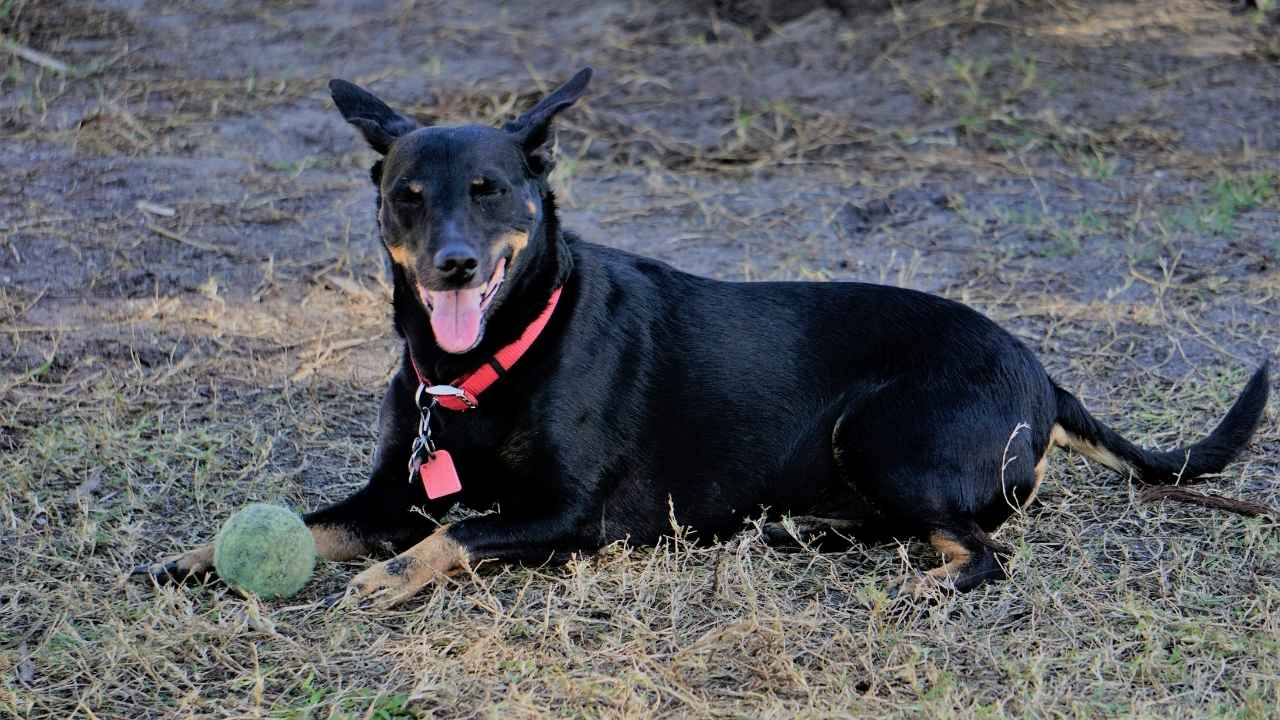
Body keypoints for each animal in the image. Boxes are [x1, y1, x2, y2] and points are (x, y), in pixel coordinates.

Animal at [137, 68, 1269, 604]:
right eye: (407, 196)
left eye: (492, 189)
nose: (453, 264)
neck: (482, 362)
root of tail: (1041, 370)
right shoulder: (388, 496)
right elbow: (311, 518)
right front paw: (195, 558)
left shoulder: (573, 517)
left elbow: (453, 536)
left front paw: (387, 579)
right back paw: (801, 530)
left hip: (881, 431)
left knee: (983, 547)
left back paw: (930, 579)